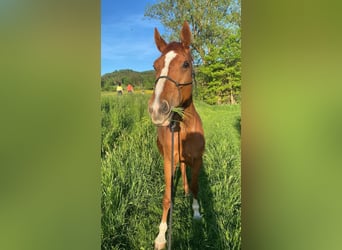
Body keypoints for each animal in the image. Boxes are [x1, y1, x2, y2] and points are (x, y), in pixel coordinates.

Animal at [148, 22, 206, 250]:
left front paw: (197, 213)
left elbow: (197, 186)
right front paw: (161, 236)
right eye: (155, 65)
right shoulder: (167, 160)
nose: (157, 109)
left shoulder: (197, 159)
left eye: (185, 64)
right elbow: (166, 197)